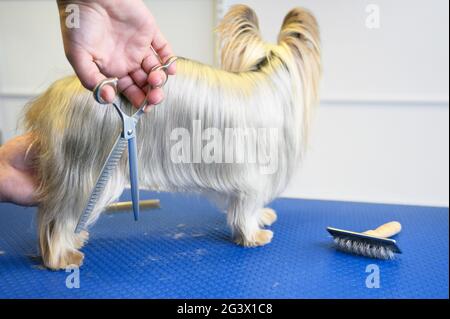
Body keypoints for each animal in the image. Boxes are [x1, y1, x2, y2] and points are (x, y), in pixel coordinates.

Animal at [23, 5, 320, 270]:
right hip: (90, 171)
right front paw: (254, 235)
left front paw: (263, 217)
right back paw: (62, 258)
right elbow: (245, 210)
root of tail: (53, 99)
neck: (271, 79)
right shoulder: (251, 178)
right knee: (58, 219)